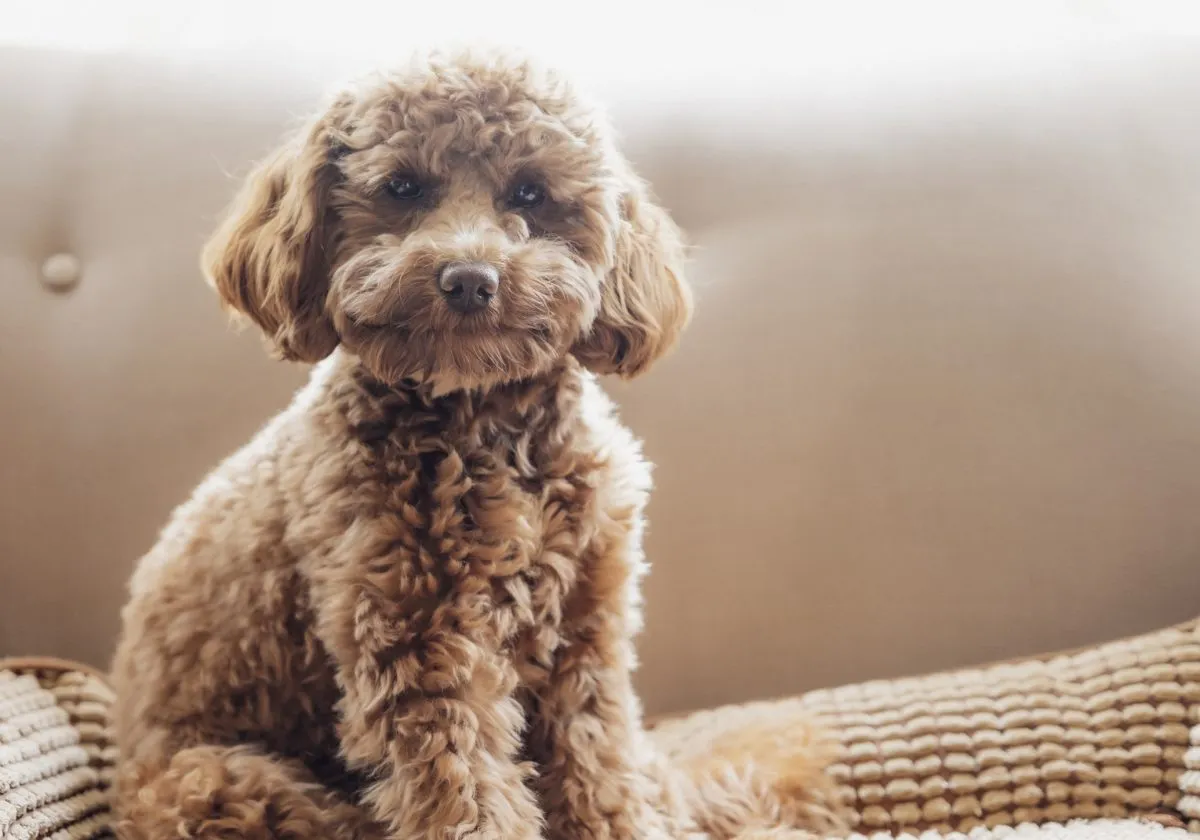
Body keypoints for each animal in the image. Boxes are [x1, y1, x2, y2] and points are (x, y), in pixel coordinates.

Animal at [112, 52, 844, 840]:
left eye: (530, 192)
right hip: (217, 783)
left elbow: (601, 772)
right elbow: (467, 796)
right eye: (403, 187)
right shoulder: (422, 648)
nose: (469, 279)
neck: (486, 422)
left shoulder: (583, 640)